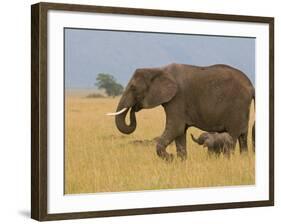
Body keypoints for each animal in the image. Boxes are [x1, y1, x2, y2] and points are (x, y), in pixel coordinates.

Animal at [105, 63, 254, 161]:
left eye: (133, 88)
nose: (134, 108)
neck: (158, 70)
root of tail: (251, 86)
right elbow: (180, 132)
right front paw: (180, 161)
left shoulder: (177, 98)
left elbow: (176, 129)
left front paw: (171, 159)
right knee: (243, 137)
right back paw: (243, 159)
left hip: (236, 107)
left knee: (233, 136)